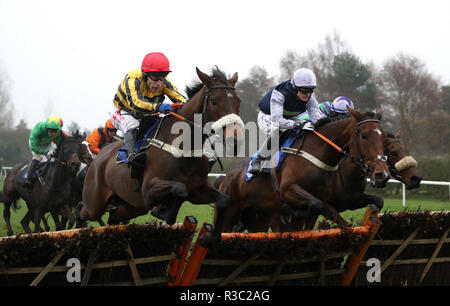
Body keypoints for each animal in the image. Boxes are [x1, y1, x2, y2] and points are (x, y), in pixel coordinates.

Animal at [79, 67, 244, 246]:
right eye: (214, 101)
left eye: (238, 101)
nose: (235, 140)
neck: (183, 149)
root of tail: (97, 159)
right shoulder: (148, 191)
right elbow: (180, 189)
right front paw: (162, 211)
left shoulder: (198, 188)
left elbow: (222, 200)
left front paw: (210, 237)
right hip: (94, 203)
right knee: (82, 211)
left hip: (132, 207)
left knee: (113, 218)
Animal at [215, 107, 390, 232]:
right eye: (364, 135)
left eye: (385, 138)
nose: (382, 175)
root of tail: (228, 175)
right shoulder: (288, 189)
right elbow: (316, 206)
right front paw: (288, 209)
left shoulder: (336, 199)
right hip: (230, 213)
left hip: (258, 219)